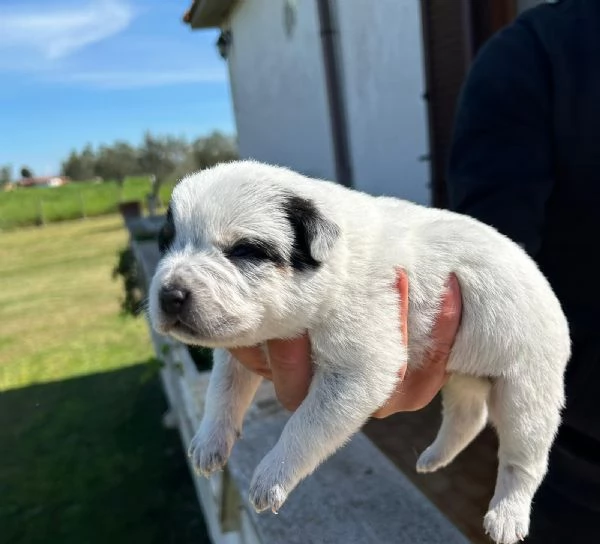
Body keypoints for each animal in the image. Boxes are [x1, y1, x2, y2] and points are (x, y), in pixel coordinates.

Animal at [148, 159, 568, 540]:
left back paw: (507, 516)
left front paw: (272, 476)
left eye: (244, 251)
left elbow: (306, 424)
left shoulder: (358, 368)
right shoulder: (238, 348)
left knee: (523, 459)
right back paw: (434, 457)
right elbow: (223, 390)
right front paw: (208, 441)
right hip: (462, 371)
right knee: (468, 415)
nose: (169, 295)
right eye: (166, 242)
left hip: (526, 388)